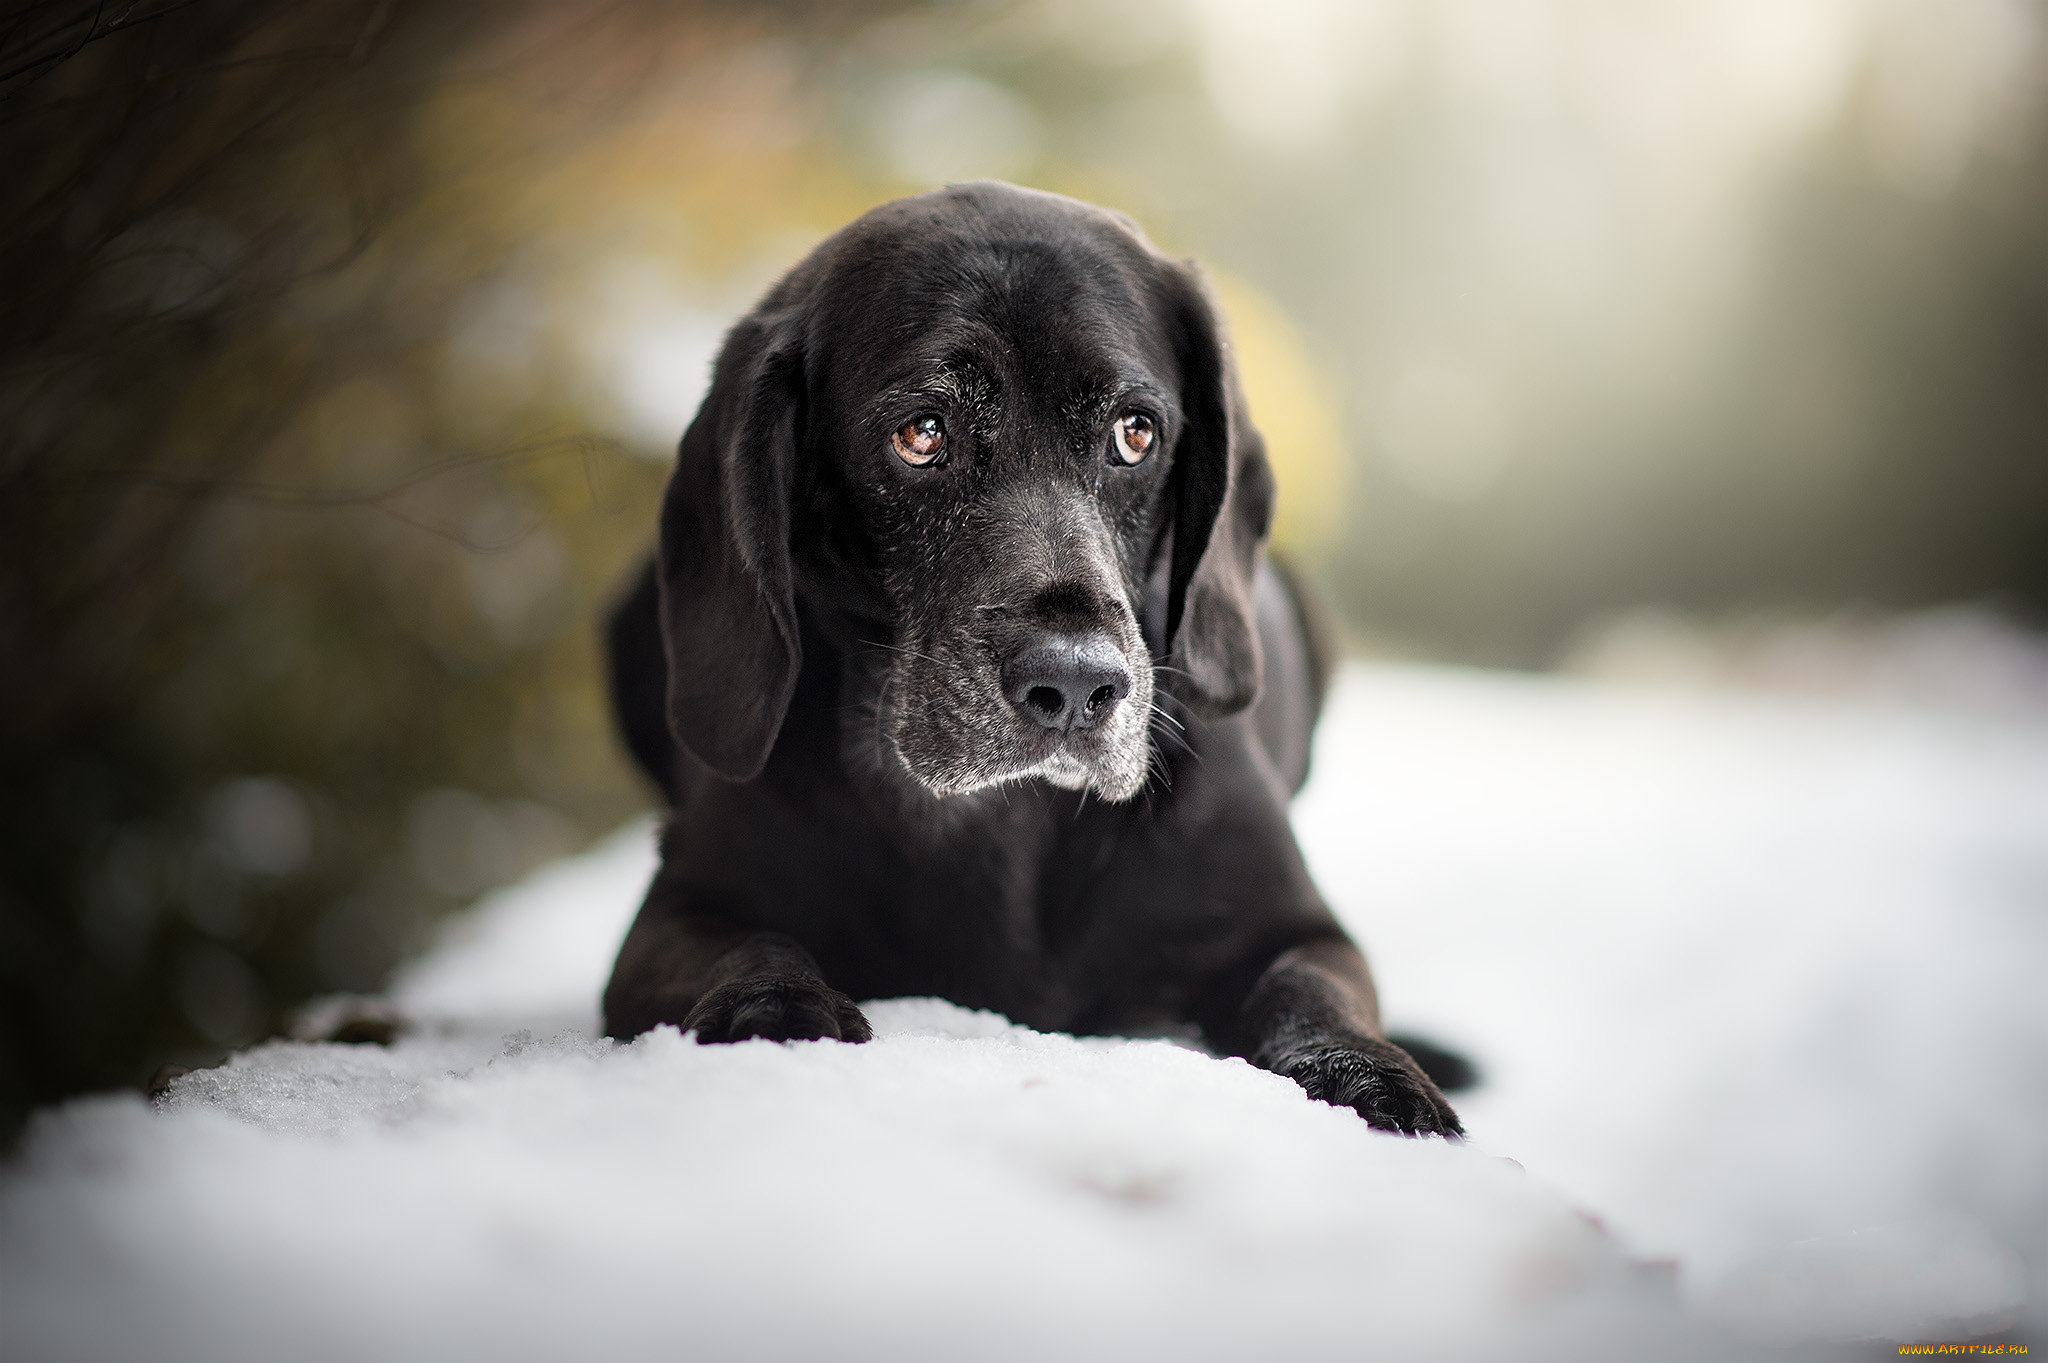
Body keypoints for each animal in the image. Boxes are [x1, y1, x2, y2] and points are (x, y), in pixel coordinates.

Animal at [598, 183, 1466, 1137]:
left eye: (1136, 433)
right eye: (921, 434)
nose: (1078, 684)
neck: (1004, 822)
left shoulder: (1298, 927)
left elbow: (1311, 991)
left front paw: (1374, 1075)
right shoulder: (680, 910)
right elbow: (753, 944)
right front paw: (777, 1011)